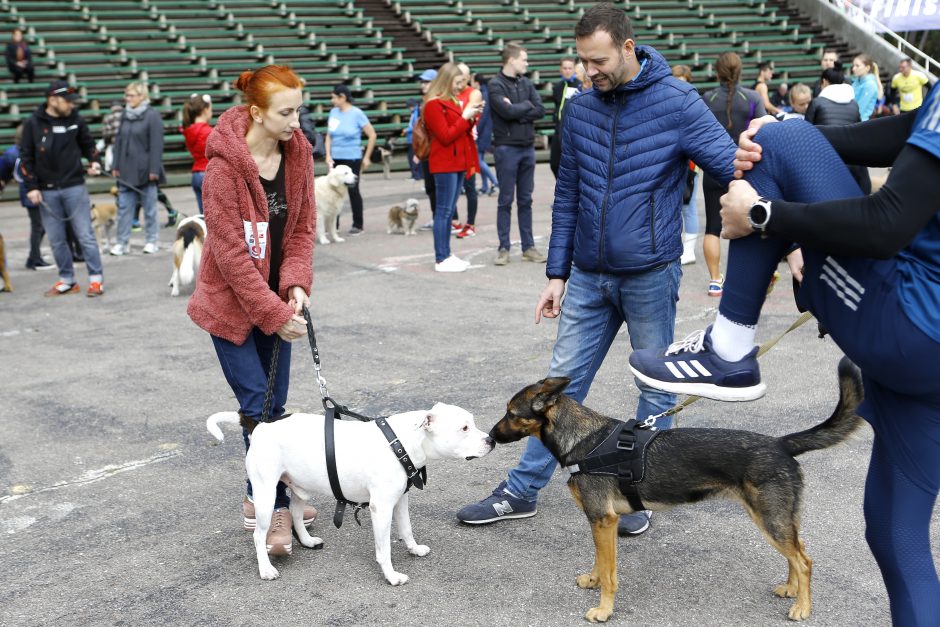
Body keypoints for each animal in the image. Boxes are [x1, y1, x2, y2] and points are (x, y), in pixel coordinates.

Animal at [207, 404, 496, 588]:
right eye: (464, 428)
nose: (491, 440)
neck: (401, 442)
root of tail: (260, 426)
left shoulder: (400, 500)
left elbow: (406, 529)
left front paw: (413, 548)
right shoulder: (381, 508)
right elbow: (384, 548)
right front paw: (391, 576)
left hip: (301, 487)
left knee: (297, 514)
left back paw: (307, 541)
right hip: (266, 494)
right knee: (259, 535)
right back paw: (266, 569)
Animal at [492, 358, 868, 624]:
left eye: (511, 413)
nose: (492, 437)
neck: (585, 440)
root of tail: (780, 443)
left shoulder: (604, 520)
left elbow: (612, 574)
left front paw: (604, 610)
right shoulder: (600, 521)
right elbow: (600, 560)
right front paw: (594, 580)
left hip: (770, 519)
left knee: (805, 560)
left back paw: (803, 607)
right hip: (777, 518)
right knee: (797, 552)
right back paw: (791, 589)